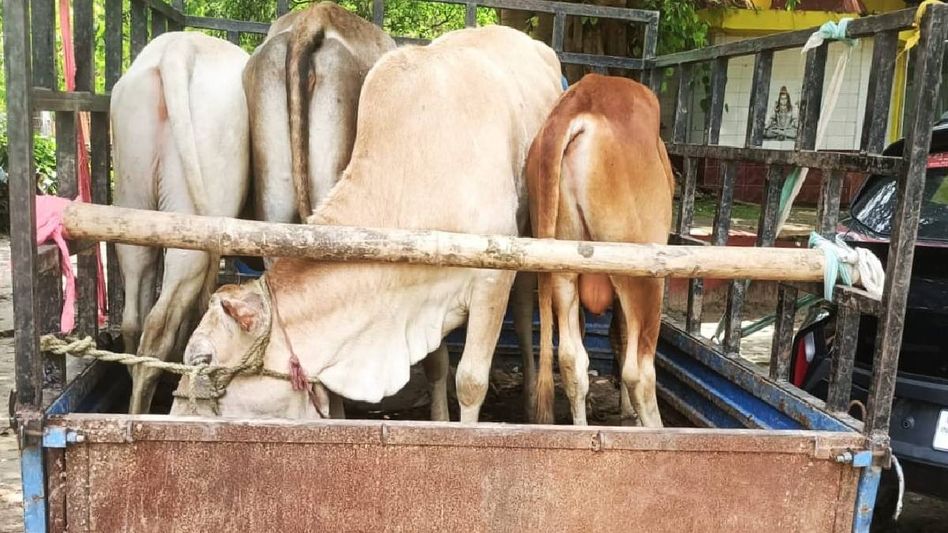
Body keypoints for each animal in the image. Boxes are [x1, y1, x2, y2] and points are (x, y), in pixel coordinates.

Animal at [169, 25, 562, 422]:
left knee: (525, 311)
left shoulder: (490, 281)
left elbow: (470, 382)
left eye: (202, 359)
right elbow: (436, 366)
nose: (170, 416)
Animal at [527, 74, 674, 427]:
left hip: (562, 265)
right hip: (643, 271)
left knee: (571, 359)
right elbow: (621, 337)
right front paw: (628, 411)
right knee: (640, 370)